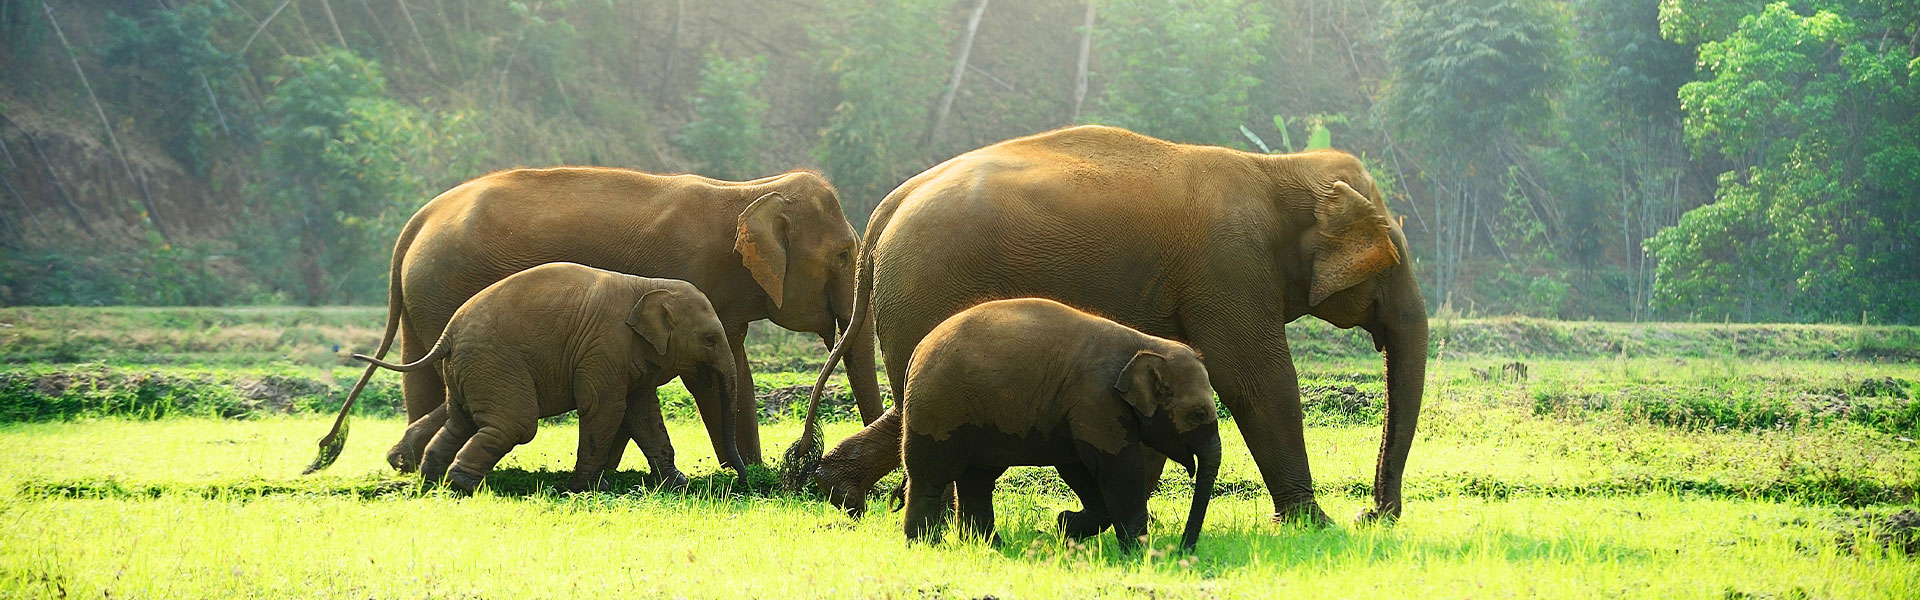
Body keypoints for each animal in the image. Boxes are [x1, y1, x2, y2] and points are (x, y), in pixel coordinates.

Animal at [341, 261, 737, 492]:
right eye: (710, 339)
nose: (741, 478)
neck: (647, 285)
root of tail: (447, 336)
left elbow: (643, 414)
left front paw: (679, 485)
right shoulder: (603, 349)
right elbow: (603, 409)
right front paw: (579, 490)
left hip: (466, 370)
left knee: (461, 420)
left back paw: (432, 482)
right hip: (495, 364)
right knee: (516, 424)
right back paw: (461, 485)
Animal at [794, 126, 1428, 523]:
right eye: (1391, 257)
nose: (1374, 513)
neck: (1280, 171)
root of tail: (887, 208)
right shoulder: (1229, 268)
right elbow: (1256, 381)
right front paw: (1313, 525)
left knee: (914, 402)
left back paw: (841, 492)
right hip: (928, 287)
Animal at [890, 300, 1221, 553]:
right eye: (1198, 414)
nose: (1183, 550)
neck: (1146, 344)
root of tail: (918, 350)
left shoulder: (1078, 410)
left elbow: (1079, 467)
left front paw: (1065, 526)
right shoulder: (1096, 400)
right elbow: (1118, 468)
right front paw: (1139, 555)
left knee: (977, 480)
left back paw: (990, 546)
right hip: (938, 408)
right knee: (931, 475)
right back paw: (925, 546)